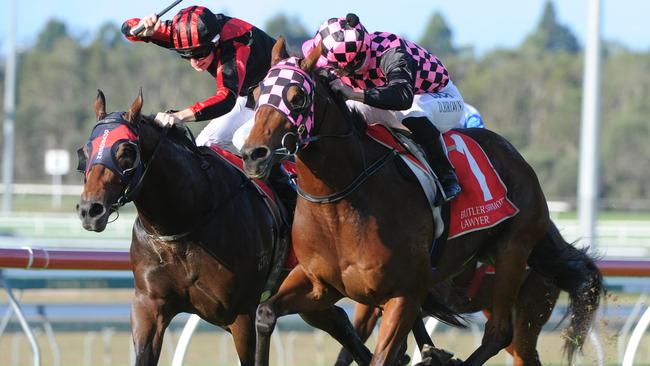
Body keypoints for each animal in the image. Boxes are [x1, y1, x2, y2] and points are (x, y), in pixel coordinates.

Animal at [75, 90, 370, 364]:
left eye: (126, 151)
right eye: (85, 152)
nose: (90, 210)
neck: (184, 222)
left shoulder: (242, 315)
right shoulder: (148, 307)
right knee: (344, 327)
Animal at [240, 38, 600, 364]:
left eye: (297, 97)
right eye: (257, 96)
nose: (253, 154)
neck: (339, 202)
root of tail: (518, 159)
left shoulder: (404, 294)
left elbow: (383, 355)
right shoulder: (320, 284)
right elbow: (265, 313)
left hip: (513, 255)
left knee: (499, 333)